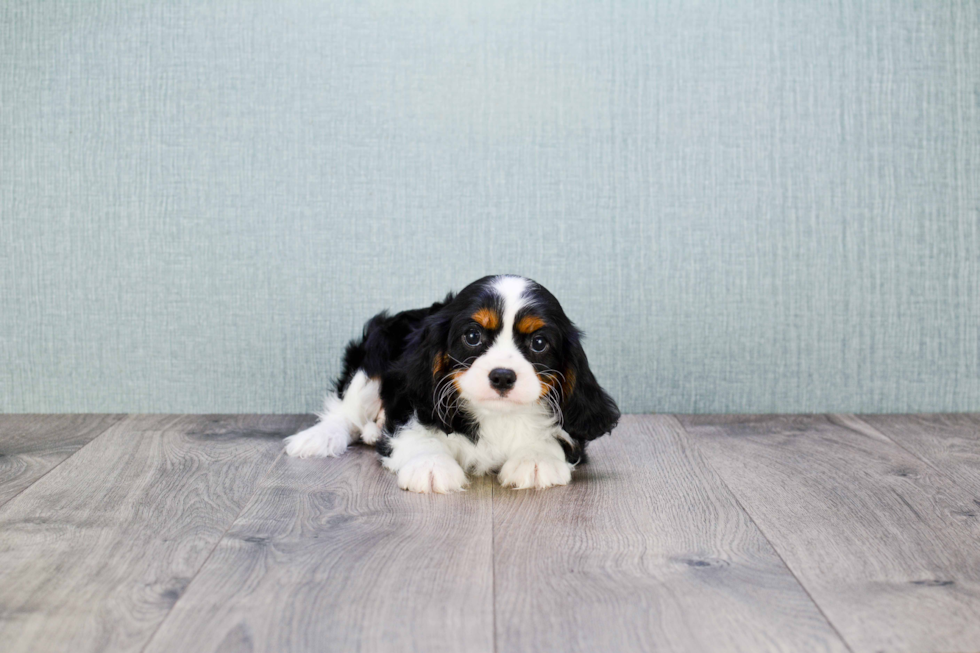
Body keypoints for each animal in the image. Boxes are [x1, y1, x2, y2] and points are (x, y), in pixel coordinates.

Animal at [286, 272, 620, 492]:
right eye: (472, 336)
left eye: (539, 343)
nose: (502, 375)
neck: (495, 415)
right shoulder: (410, 401)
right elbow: (415, 433)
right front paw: (431, 464)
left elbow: (558, 437)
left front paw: (536, 460)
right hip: (375, 350)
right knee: (347, 410)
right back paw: (319, 437)